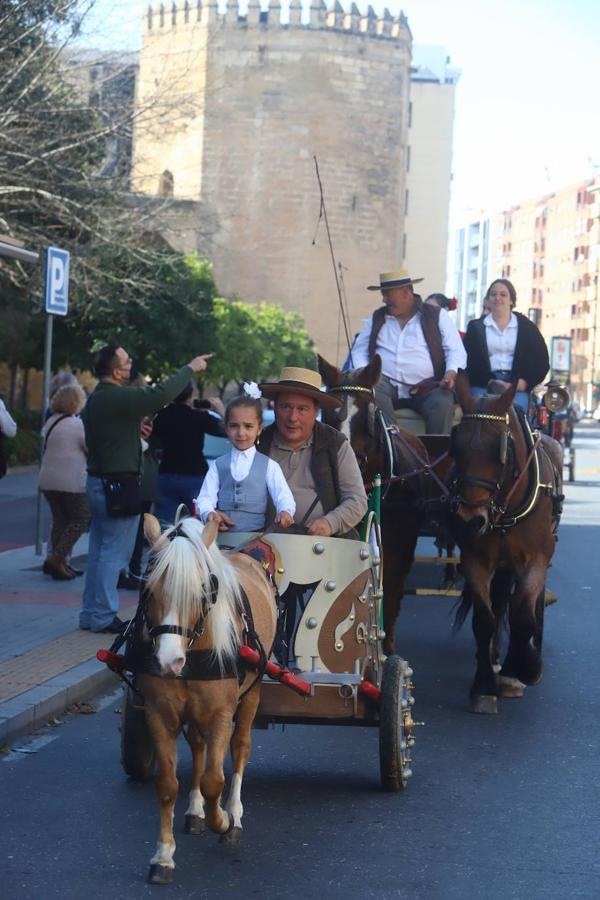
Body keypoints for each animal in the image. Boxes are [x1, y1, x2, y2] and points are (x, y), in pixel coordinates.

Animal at [137, 516, 276, 884]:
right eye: (149, 591)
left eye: (202, 592)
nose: (168, 662)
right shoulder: (159, 714)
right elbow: (167, 784)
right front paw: (163, 856)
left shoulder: (221, 714)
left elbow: (216, 780)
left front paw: (224, 821)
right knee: (198, 746)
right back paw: (195, 810)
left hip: (252, 693)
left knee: (240, 747)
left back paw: (233, 813)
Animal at [450, 372, 564, 712]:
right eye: (456, 445)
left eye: (500, 450)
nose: (470, 521)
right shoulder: (475, 559)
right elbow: (485, 619)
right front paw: (485, 684)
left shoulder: (536, 560)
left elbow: (524, 616)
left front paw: (523, 669)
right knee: (499, 602)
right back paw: (492, 658)